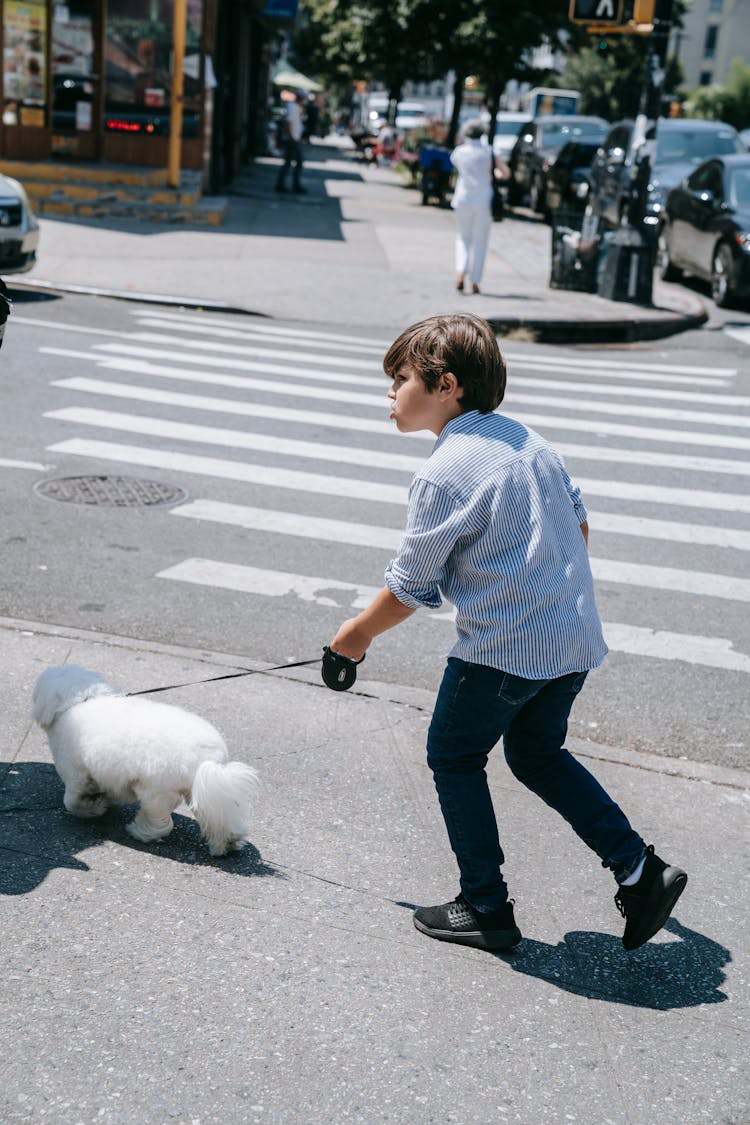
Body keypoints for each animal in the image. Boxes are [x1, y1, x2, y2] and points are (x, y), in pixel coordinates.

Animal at [32, 661, 259, 855]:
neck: (81, 699)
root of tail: (209, 758)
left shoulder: (76, 775)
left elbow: (71, 802)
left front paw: (93, 809)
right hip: (204, 790)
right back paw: (227, 842)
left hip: (156, 792)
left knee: (161, 824)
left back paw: (140, 831)